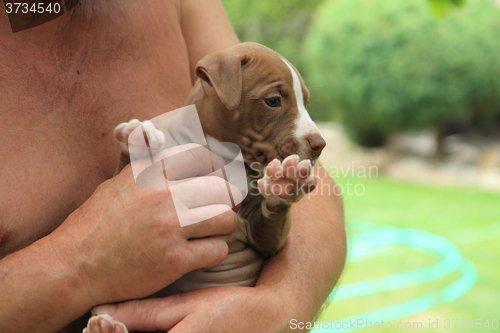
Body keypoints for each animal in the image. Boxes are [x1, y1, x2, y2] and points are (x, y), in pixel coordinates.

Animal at [84, 42, 326, 332]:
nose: (319, 144)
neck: (223, 154)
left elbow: (272, 227)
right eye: (273, 101)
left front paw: (285, 184)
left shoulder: (262, 240)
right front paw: (137, 141)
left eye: (306, 103)